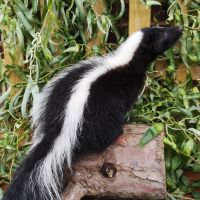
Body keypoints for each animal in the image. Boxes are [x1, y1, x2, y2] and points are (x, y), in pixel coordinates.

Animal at [1, 27, 183, 200]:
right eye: (163, 35)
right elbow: (126, 106)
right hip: (95, 116)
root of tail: (57, 130)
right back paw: (118, 134)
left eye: (163, 29)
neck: (128, 63)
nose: (179, 29)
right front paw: (127, 120)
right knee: (101, 135)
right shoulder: (126, 89)